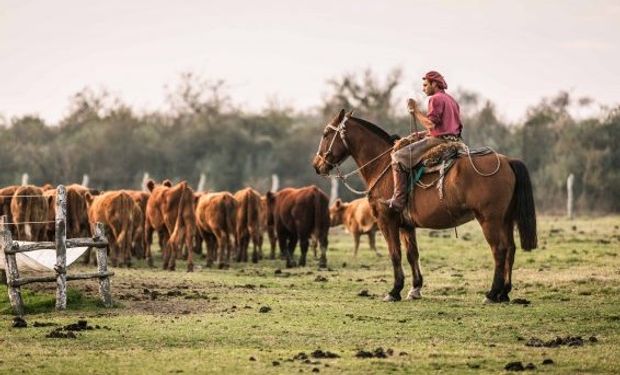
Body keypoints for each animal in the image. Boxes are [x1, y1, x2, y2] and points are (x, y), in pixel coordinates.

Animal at [312, 110, 536, 304]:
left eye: (325, 134)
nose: (317, 165)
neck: (383, 165)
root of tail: (507, 161)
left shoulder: (387, 221)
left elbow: (395, 254)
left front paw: (394, 290)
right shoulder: (406, 225)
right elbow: (412, 255)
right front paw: (415, 289)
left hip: (489, 220)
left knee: (499, 250)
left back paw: (492, 293)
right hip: (506, 219)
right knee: (510, 249)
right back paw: (504, 293)